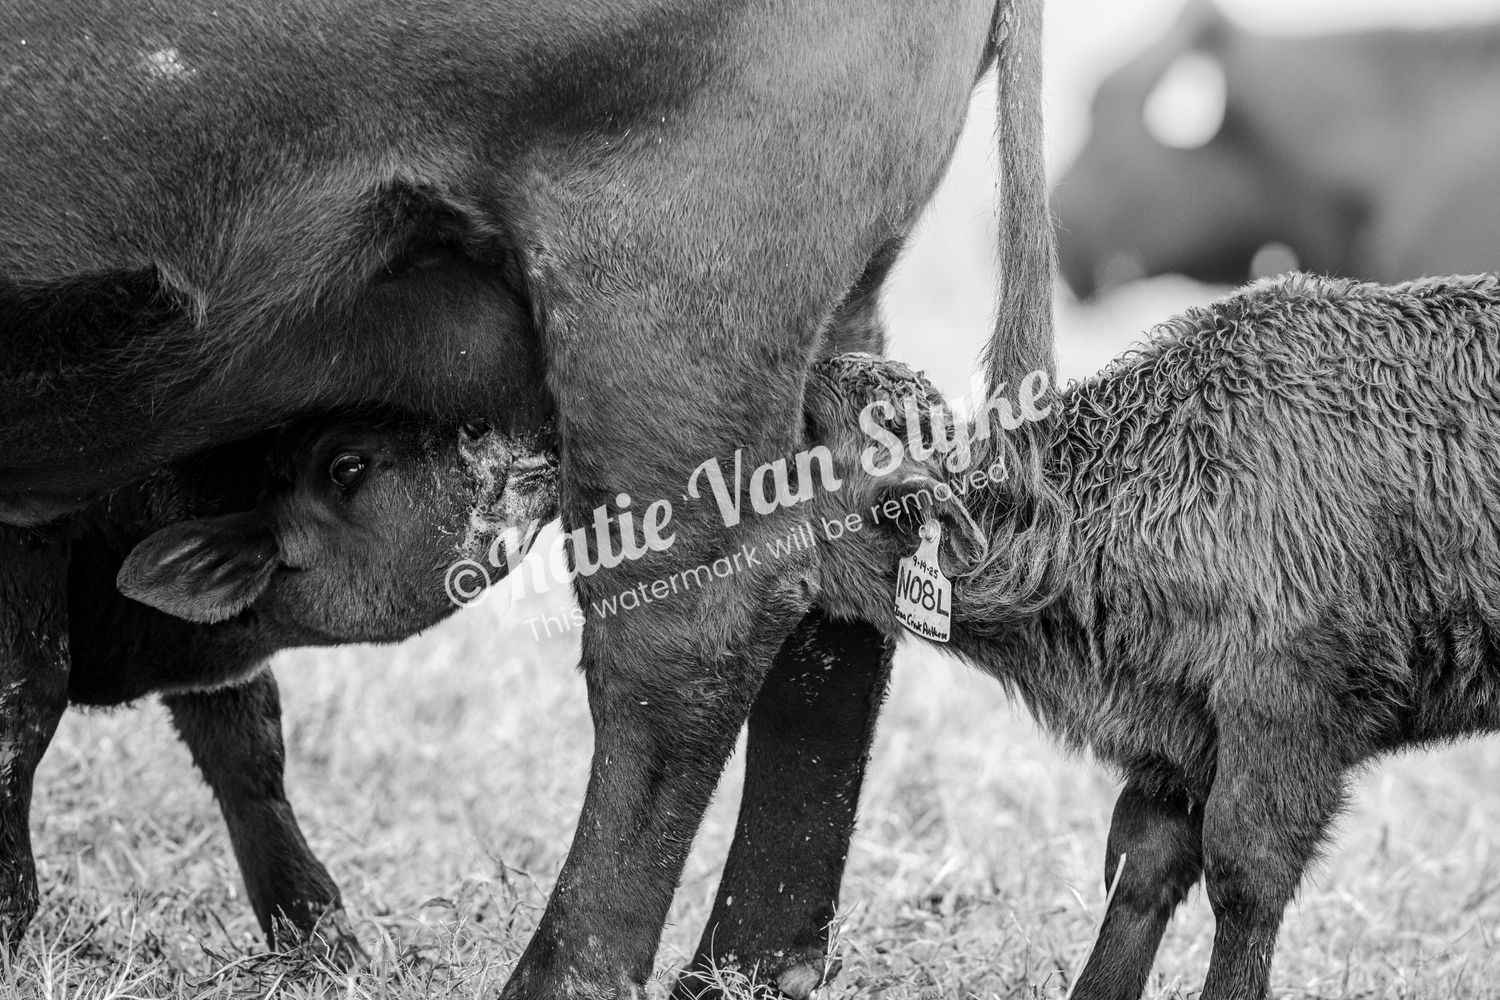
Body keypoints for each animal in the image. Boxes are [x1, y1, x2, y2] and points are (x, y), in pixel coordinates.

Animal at [0, 1, 1057, 995]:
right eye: (346, 465)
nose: (482, 433)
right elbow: (177, 711)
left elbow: (37, 698)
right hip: (826, 330)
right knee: (845, 581)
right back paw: (744, 971)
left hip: (667, 298)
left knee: (689, 629)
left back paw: (561, 974)